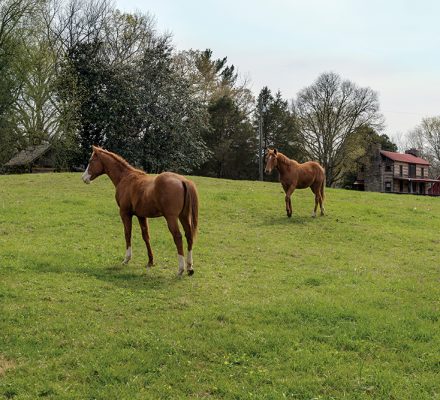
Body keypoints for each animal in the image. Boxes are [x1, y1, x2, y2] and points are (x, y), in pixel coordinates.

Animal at [81, 146, 198, 276]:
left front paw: (126, 259)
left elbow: (127, 234)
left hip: (171, 218)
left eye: (91, 161)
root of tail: (183, 180)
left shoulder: (125, 213)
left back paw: (180, 269)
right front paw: (150, 261)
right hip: (184, 216)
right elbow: (146, 236)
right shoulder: (141, 216)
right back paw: (189, 267)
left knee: (178, 237)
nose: (84, 178)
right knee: (189, 236)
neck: (125, 178)